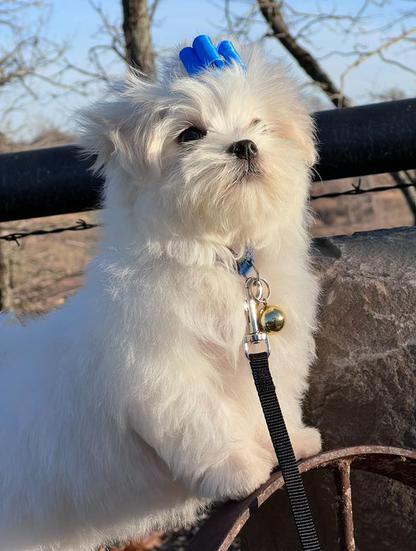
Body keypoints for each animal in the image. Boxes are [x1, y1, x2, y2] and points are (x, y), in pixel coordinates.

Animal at [0, 40, 322, 551]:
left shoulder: (272, 355)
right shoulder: (163, 369)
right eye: (190, 134)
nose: (245, 144)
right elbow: (201, 419)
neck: (217, 256)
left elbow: (274, 401)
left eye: (259, 123)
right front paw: (238, 468)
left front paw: (292, 440)